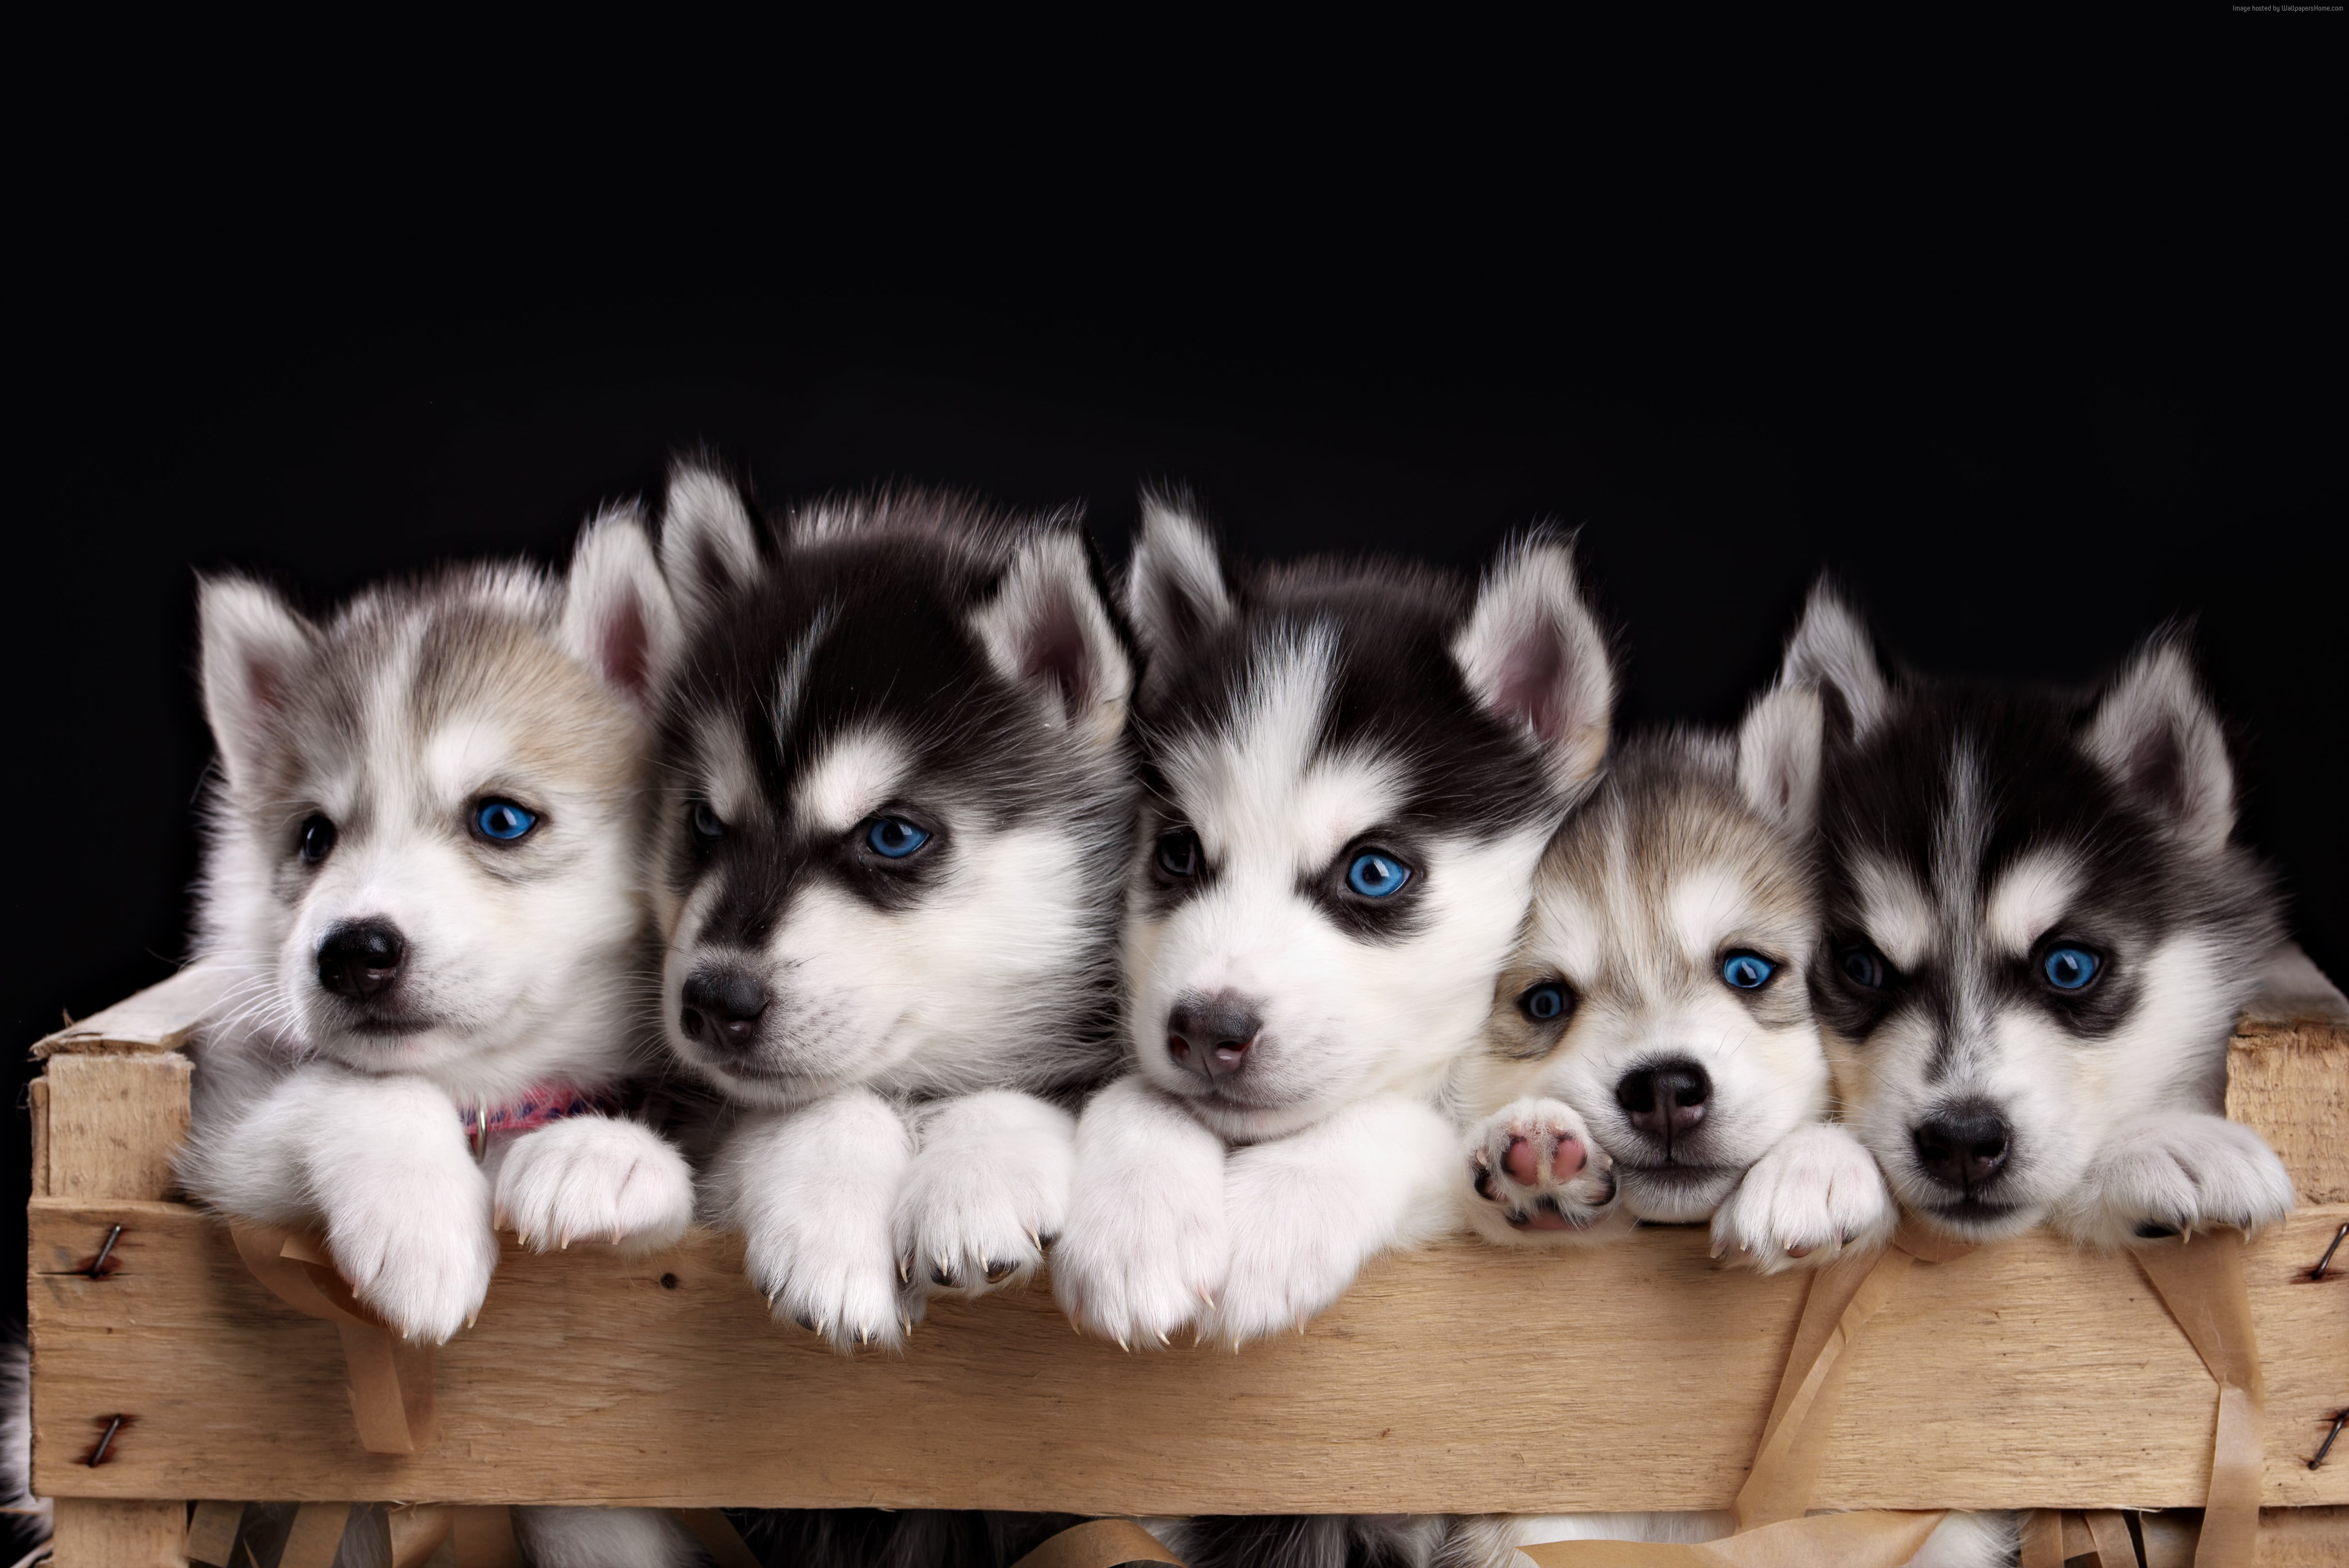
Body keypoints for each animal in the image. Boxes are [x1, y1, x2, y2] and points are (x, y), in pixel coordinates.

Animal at [178, 514, 700, 1568]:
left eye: (500, 818)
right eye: (313, 838)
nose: (352, 953)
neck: (484, 1102)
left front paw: (600, 1157)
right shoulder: (222, 1136)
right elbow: (358, 1091)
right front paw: (419, 1222)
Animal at [648, 463, 1132, 1354]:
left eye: (894, 835)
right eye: (704, 821)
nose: (714, 1000)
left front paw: (975, 1182)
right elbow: (824, 1102)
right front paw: (829, 1229)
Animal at [1052, 496, 1616, 1354]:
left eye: (1372, 872)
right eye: (1177, 853)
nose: (1206, 1031)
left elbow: (1393, 1121)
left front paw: (1276, 1218)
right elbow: (1146, 1089)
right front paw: (1134, 1216)